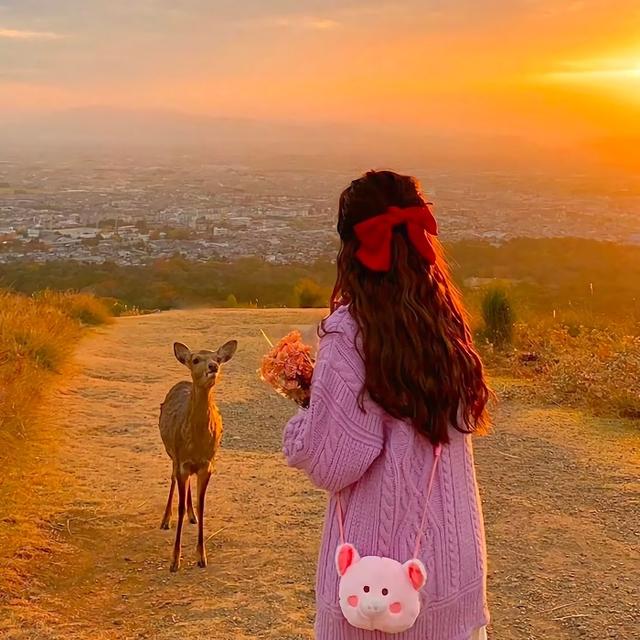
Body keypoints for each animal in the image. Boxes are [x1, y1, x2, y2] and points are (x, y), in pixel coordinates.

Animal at [159, 338, 238, 572]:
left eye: (218, 358)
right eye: (195, 360)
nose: (213, 366)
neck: (196, 444)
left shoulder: (207, 464)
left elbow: (203, 506)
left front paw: (202, 557)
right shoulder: (181, 461)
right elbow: (179, 506)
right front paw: (174, 560)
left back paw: (191, 516)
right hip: (171, 454)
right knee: (172, 481)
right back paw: (165, 520)